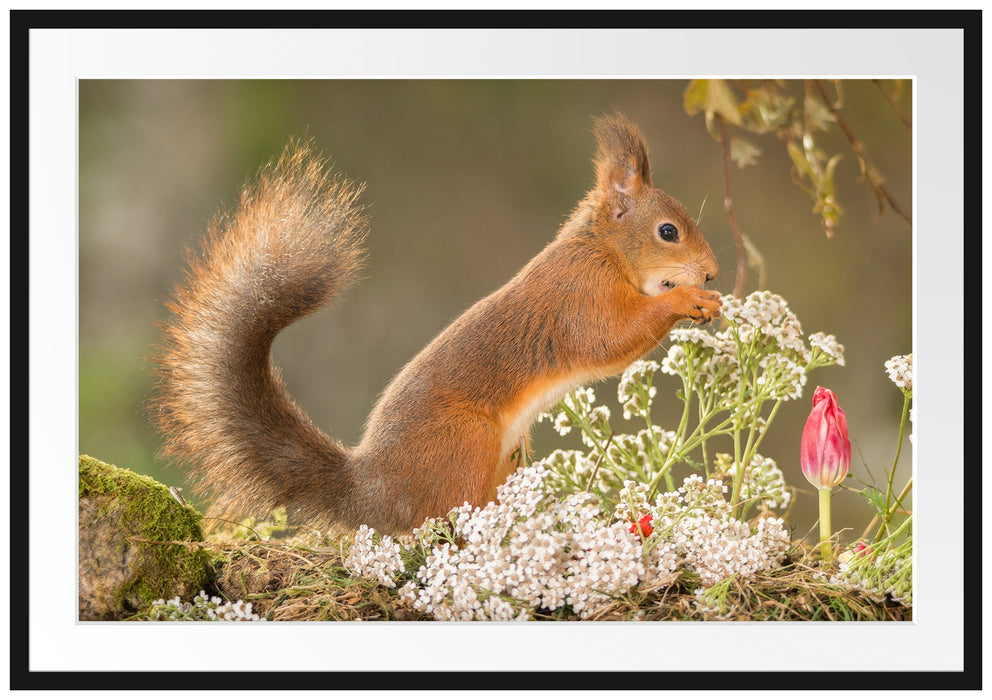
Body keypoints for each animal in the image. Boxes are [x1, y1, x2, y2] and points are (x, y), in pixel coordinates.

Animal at [149, 115, 720, 532]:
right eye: (668, 231)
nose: (713, 272)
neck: (602, 250)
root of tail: (372, 493)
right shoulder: (579, 298)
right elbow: (610, 339)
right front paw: (689, 299)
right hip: (464, 443)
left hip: (508, 454)